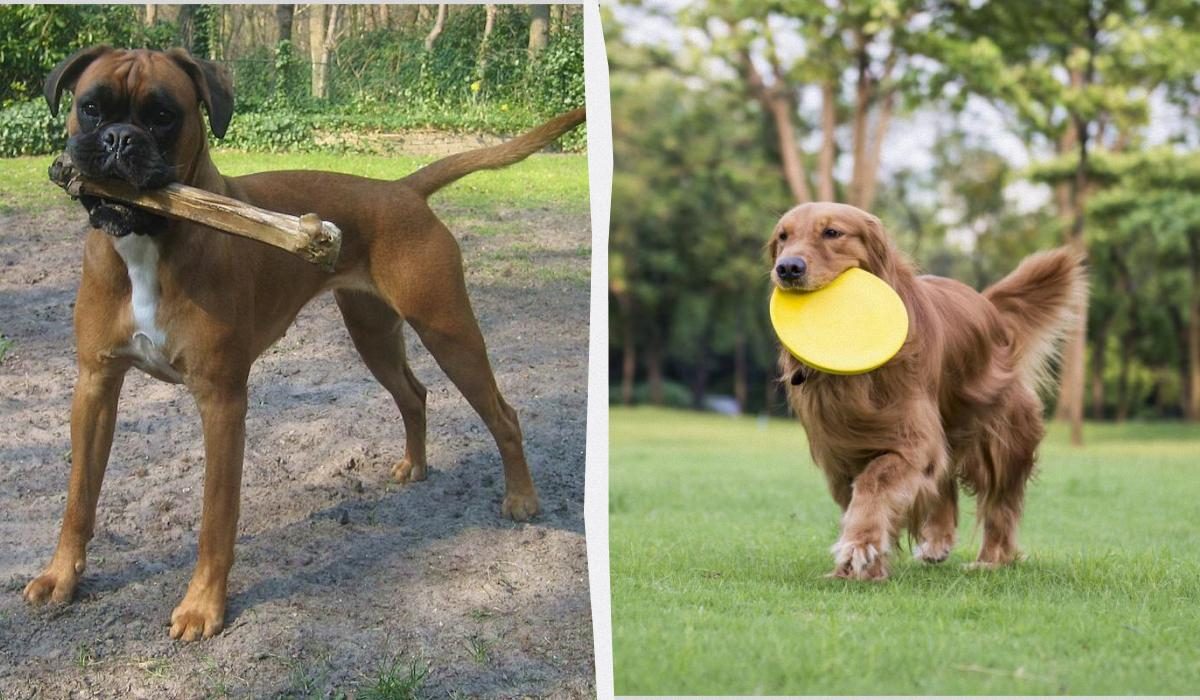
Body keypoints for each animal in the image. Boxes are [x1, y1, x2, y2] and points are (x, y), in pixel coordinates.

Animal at [18, 46, 580, 638]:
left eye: (163, 115)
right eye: (91, 107)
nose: (119, 139)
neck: (148, 241)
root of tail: (401, 187)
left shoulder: (221, 402)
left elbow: (216, 519)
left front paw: (202, 607)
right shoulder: (95, 385)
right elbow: (78, 499)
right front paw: (61, 577)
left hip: (449, 334)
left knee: (503, 414)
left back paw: (521, 498)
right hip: (374, 335)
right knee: (414, 395)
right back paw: (416, 466)